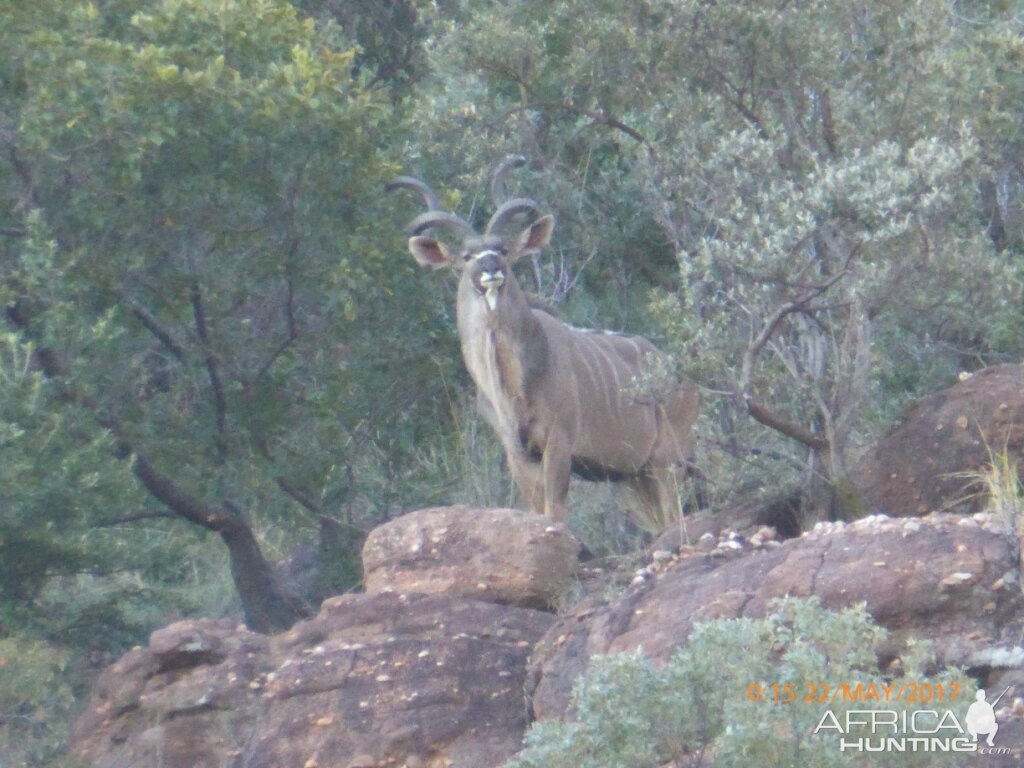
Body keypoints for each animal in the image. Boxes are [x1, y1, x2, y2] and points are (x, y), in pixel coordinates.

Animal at [387, 156, 700, 524]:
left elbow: (554, 509)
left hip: (666, 459)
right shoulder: (517, 452)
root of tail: (688, 380)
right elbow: (536, 509)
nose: (491, 269)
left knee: (676, 514)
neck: (514, 388)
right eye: (466, 257)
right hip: (631, 477)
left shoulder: (558, 441)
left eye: (503, 249)